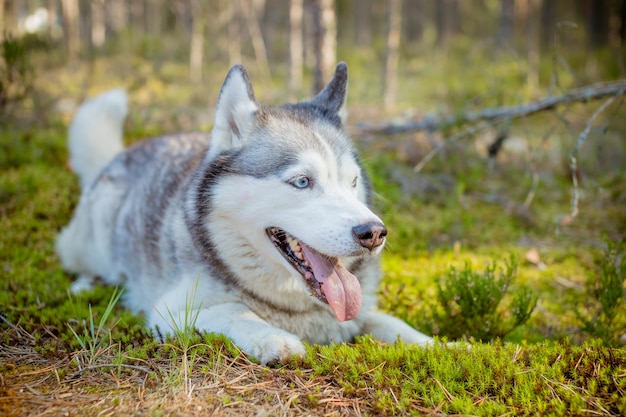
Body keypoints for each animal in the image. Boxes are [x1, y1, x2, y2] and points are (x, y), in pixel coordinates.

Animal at [57, 62, 428, 364]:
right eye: (302, 181)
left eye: (352, 182)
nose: (374, 233)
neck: (294, 306)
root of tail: (118, 155)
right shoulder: (171, 312)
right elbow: (235, 310)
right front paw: (274, 338)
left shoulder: (358, 312)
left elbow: (390, 323)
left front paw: (436, 344)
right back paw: (87, 285)